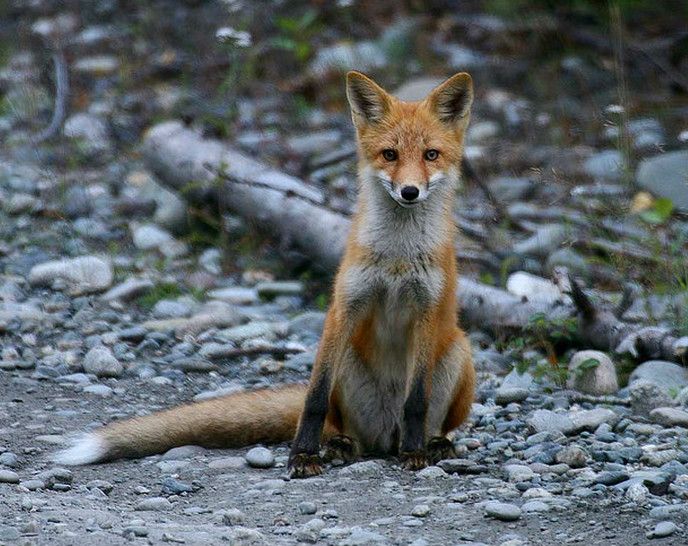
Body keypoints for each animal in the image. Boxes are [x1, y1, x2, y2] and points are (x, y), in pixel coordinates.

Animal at [53, 71, 476, 476]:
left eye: (431, 155)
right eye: (390, 154)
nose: (409, 192)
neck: (396, 256)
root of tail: (385, 437)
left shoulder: (426, 309)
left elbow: (416, 401)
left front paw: (414, 453)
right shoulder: (344, 306)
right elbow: (314, 397)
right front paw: (302, 454)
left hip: (460, 351)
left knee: (431, 420)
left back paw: (432, 444)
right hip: (350, 372)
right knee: (343, 428)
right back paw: (341, 444)